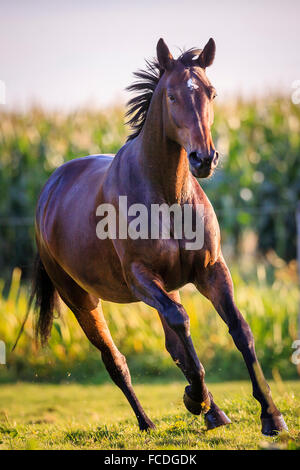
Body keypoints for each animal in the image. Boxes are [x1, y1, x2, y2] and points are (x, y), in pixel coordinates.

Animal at [31, 38, 288, 436]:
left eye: (212, 93)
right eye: (171, 96)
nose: (203, 159)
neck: (167, 196)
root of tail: (50, 189)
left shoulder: (211, 270)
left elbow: (239, 329)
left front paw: (271, 416)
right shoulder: (141, 279)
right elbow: (181, 323)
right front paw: (194, 399)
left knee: (172, 342)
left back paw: (213, 412)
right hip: (81, 299)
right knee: (115, 360)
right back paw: (150, 421)